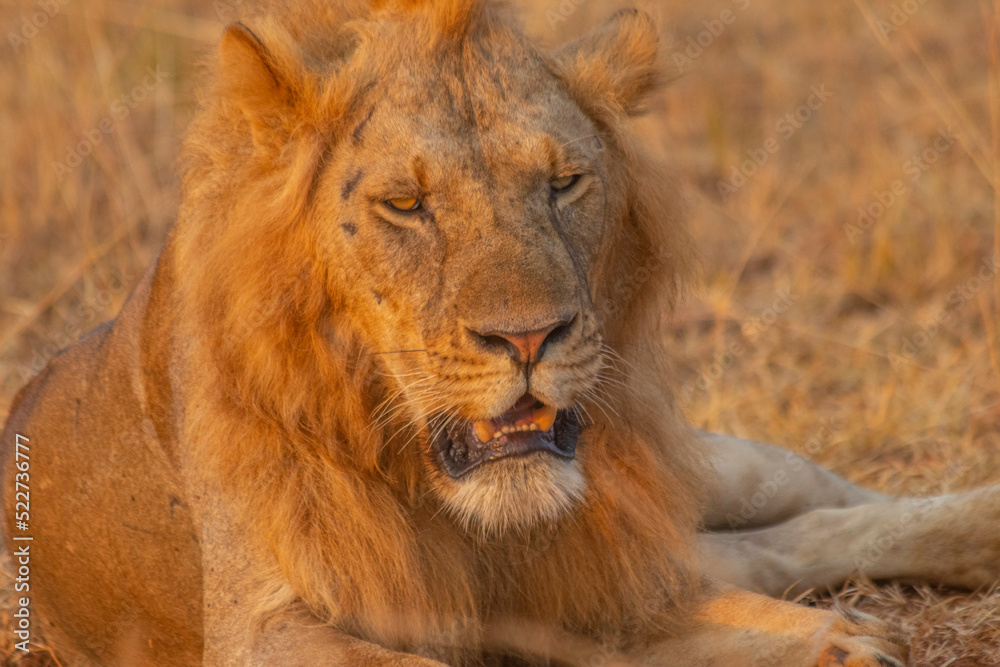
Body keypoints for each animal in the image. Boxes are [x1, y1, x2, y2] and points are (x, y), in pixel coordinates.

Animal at [6, 0, 995, 664]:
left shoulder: (587, 574)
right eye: (406, 205)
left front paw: (840, 640)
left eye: (564, 183)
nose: (529, 338)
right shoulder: (257, 623)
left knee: (823, 506)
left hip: (714, 465)